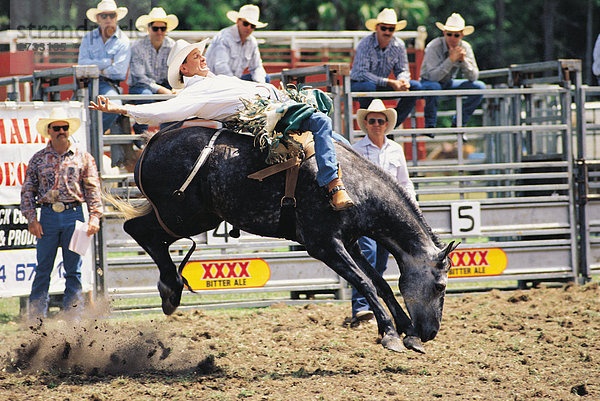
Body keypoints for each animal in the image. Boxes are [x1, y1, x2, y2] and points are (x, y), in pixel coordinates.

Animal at [111, 126, 460, 354]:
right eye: (440, 286)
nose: (432, 332)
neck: (350, 183)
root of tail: (153, 141)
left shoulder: (349, 242)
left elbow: (381, 282)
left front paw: (408, 332)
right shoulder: (323, 244)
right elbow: (366, 283)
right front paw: (390, 334)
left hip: (195, 215)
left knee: (146, 234)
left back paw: (171, 290)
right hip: (182, 213)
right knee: (137, 230)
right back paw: (170, 288)